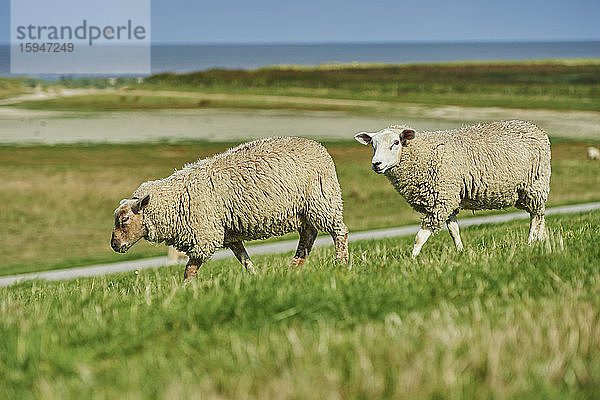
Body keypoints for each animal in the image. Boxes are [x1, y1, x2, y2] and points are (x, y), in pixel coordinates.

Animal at [110, 138, 350, 284]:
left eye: (124, 219)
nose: (114, 245)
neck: (175, 199)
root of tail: (319, 147)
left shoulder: (205, 236)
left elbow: (190, 270)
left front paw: (182, 292)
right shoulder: (229, 234)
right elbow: (244, 259)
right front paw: (256, 278)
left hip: (323, 201)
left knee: (340, 232)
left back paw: (342, 264)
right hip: (304, 211)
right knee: (308, 236)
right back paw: (294, 269)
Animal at [354, 120, 552, 256]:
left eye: (396, 142)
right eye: (372, 145)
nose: (376, 164)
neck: (424, 153)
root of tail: (535, 128)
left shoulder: (442, 200)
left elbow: (420, 237)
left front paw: (412, 259)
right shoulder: (445, 199)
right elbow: (454, 231)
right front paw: (460, 251)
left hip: (535, 185)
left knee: (536, 217)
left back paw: (530, 242)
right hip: (528, 191)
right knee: (540, 216)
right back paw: (543, 242)